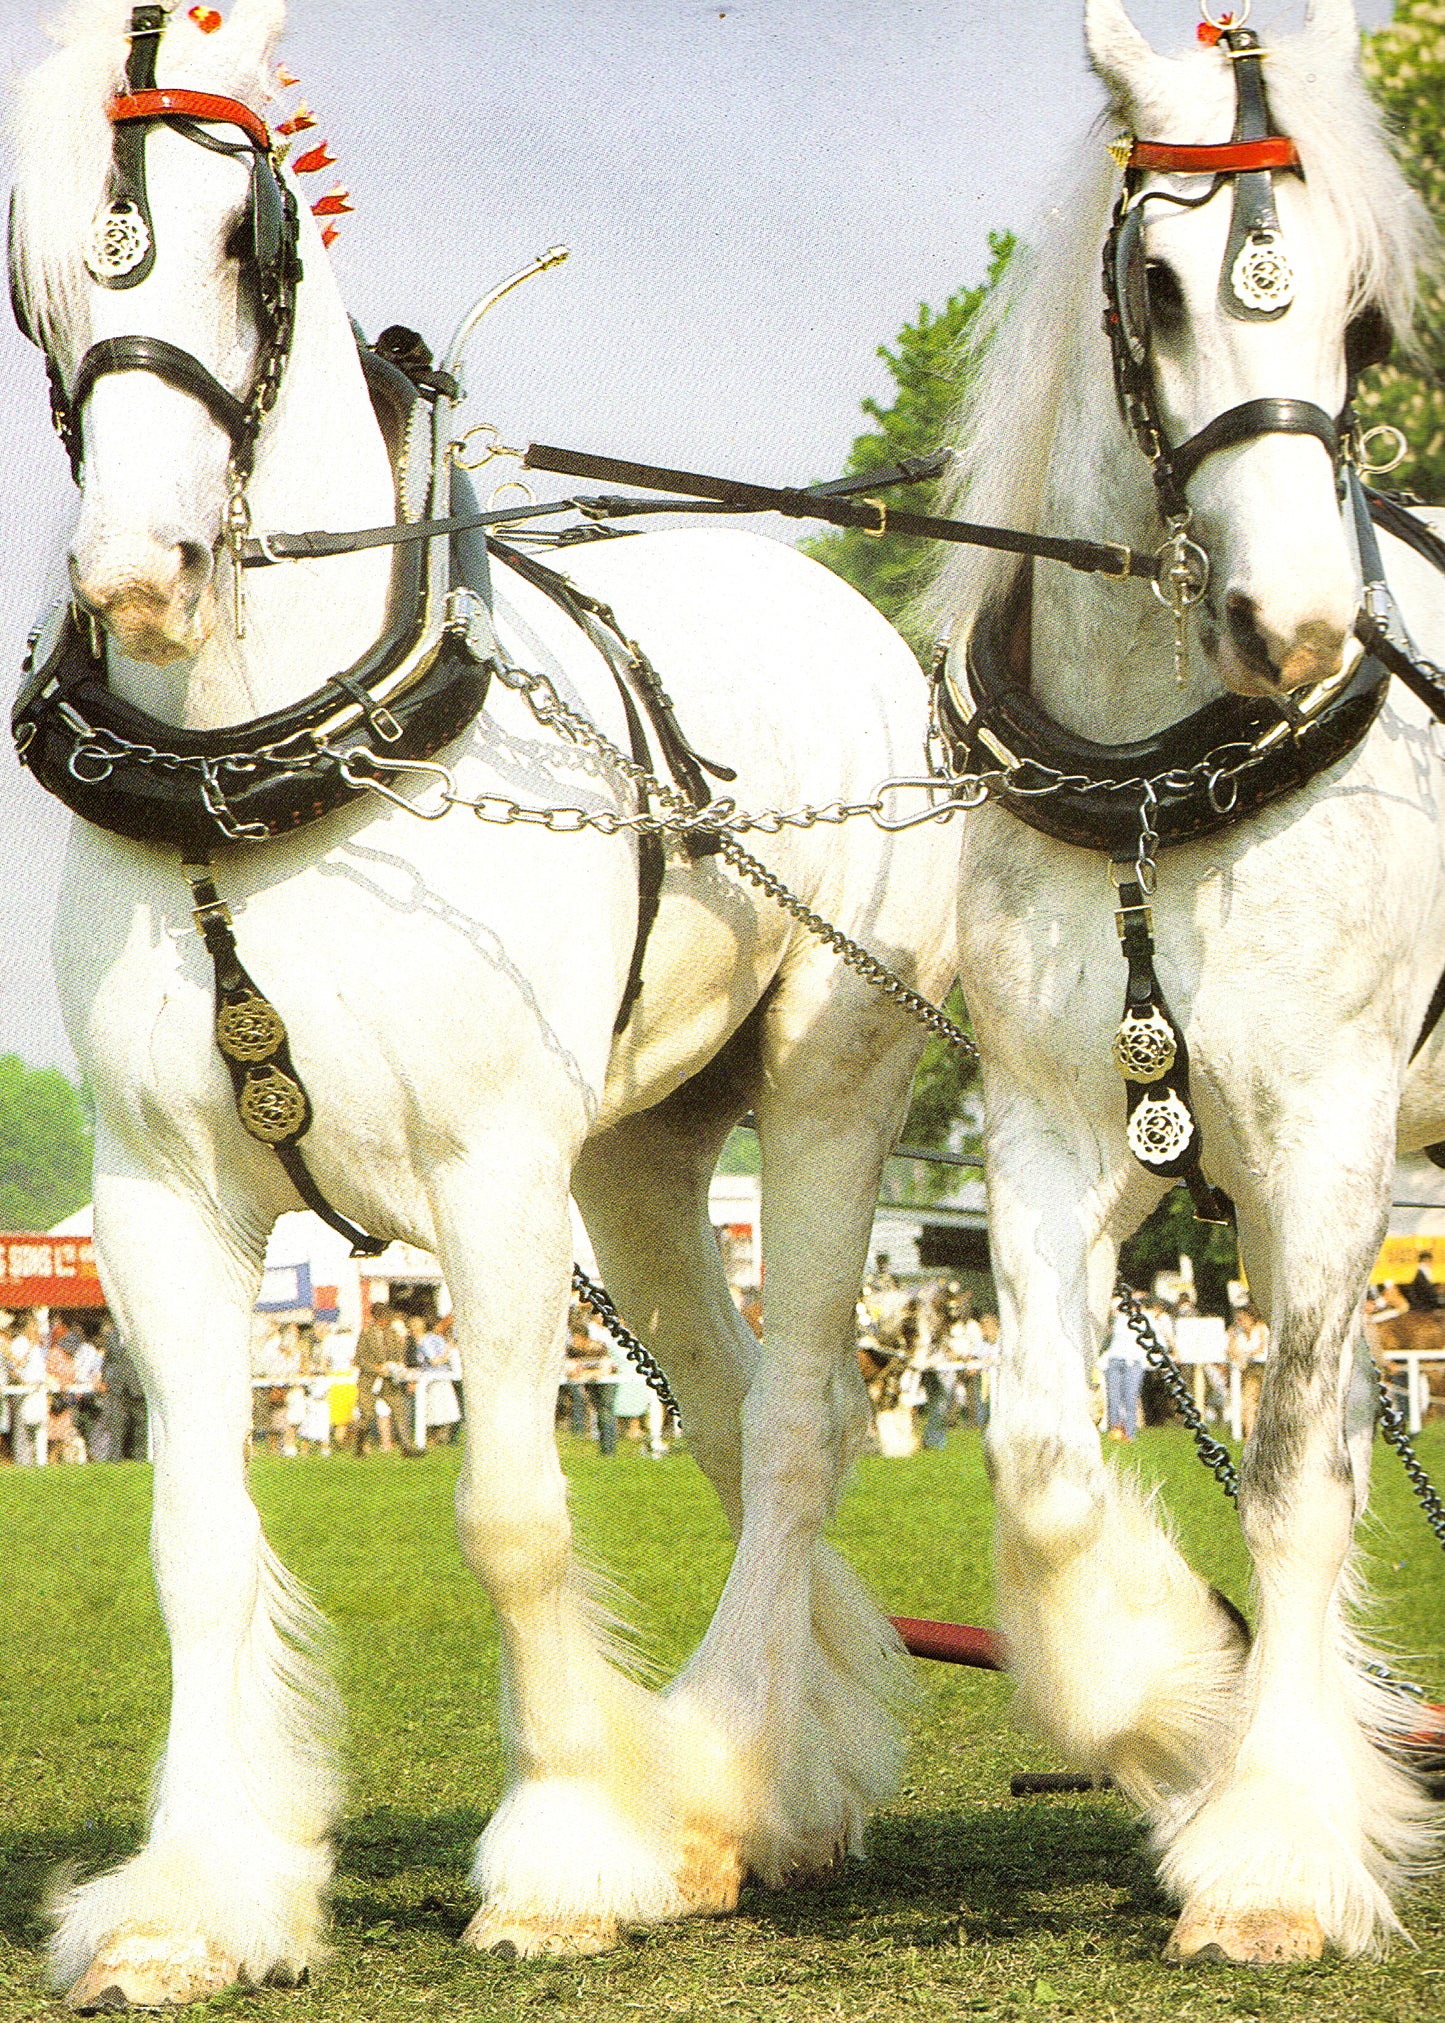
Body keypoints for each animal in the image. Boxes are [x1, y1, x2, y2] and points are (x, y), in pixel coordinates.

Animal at [8, 1, 958, 2004]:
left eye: (250, 241)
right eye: (33, 266)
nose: (139, 571)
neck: (257, 766)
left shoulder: (493, 1176)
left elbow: (513, 1516)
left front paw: (570, 1851)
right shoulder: (157, 1198)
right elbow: (194, 1536)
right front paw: (197, 1891)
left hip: (826, 1092)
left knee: (801, 1424)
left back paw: (724, 1778)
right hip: (644, 1160)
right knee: (726, 1411)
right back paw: (768, 1774)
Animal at [927, 0, 1444, 1965]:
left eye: (1363, 318)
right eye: (1153, 285)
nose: (1294, 628)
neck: (1163, 786)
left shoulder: (1328, 1137)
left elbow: (1297, 1458)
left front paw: (1282, 1845)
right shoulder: (1061, 1132)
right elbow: (1041, 1449)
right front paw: (1169, 1707)